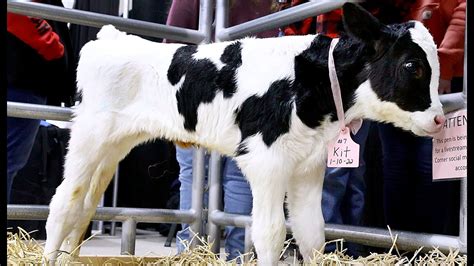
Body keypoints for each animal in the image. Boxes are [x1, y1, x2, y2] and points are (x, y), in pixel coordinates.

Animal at [43, 3, 444, 264]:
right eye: (412, 65)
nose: (440, 120)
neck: (308, 82)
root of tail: (113, 36)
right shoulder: (267, 162)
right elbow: (270, 233)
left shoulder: (308, 166)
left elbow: (313, 234)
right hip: (89, 136)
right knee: (64, 202)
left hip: (114, 145)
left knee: (85, 205)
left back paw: (66, 259)